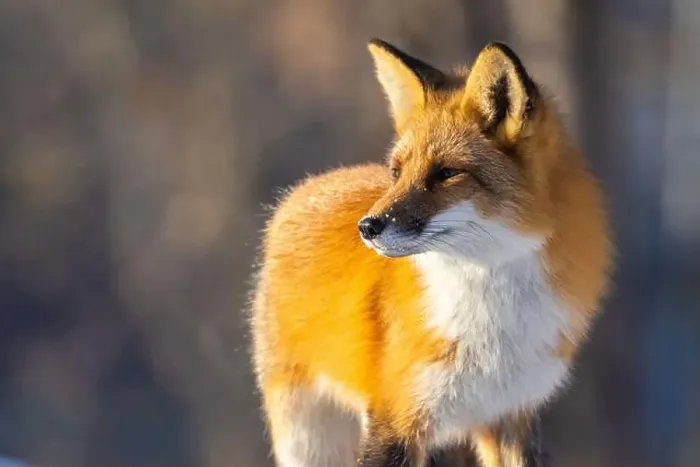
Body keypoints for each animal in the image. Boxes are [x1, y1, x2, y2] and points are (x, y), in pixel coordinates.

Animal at [250, 38, 613, 467]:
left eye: (446, 173)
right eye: (397, 172)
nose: (367, 227)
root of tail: (308, 185)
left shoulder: (513, 415)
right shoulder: (396, 419)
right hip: (309, 439)